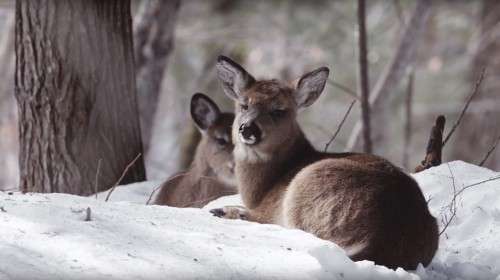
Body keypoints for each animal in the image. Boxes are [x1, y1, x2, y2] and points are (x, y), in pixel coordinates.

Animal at [210, 55, 438, 270]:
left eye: (278, 110)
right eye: (244, 105)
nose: (247, 128)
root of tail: (382, 239)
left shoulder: (273, 206)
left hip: (306, 187)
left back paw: (223, 211)